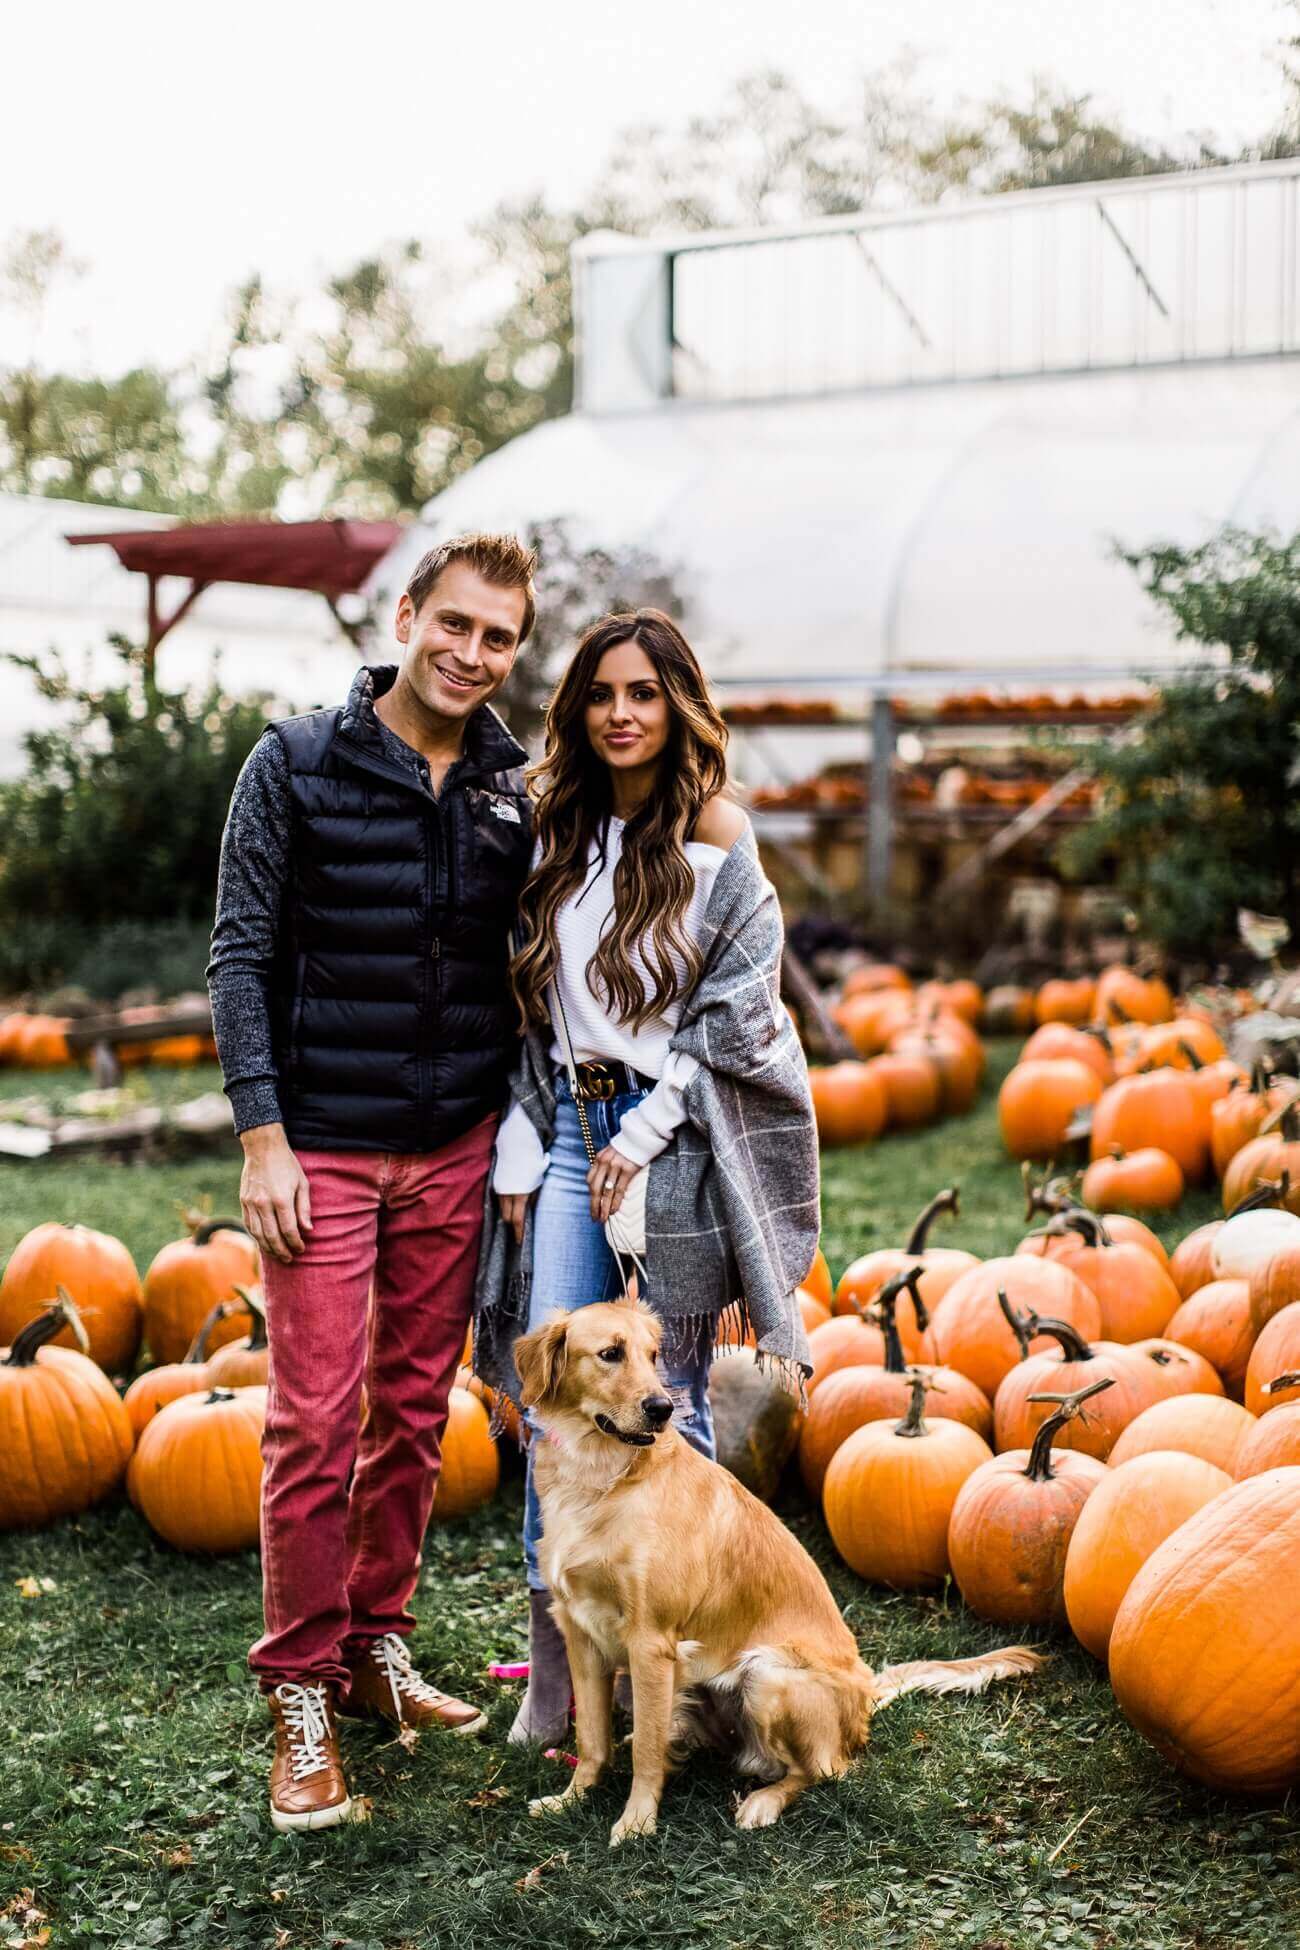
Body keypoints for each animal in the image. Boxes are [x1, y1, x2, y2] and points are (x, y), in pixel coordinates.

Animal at [514, 1294, 1044, 1840]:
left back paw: (763, 1801)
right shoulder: (580, 1631)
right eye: (610, 1354)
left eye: (653, 1355)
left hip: (768, 1674)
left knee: (824, 1770)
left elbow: (645, 1748)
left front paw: (637, 1822)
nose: (662, 1409)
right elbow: (591, 1735)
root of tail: (864, 1690)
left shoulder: (651, 1641)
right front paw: (572, 1798)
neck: (599, 1475)